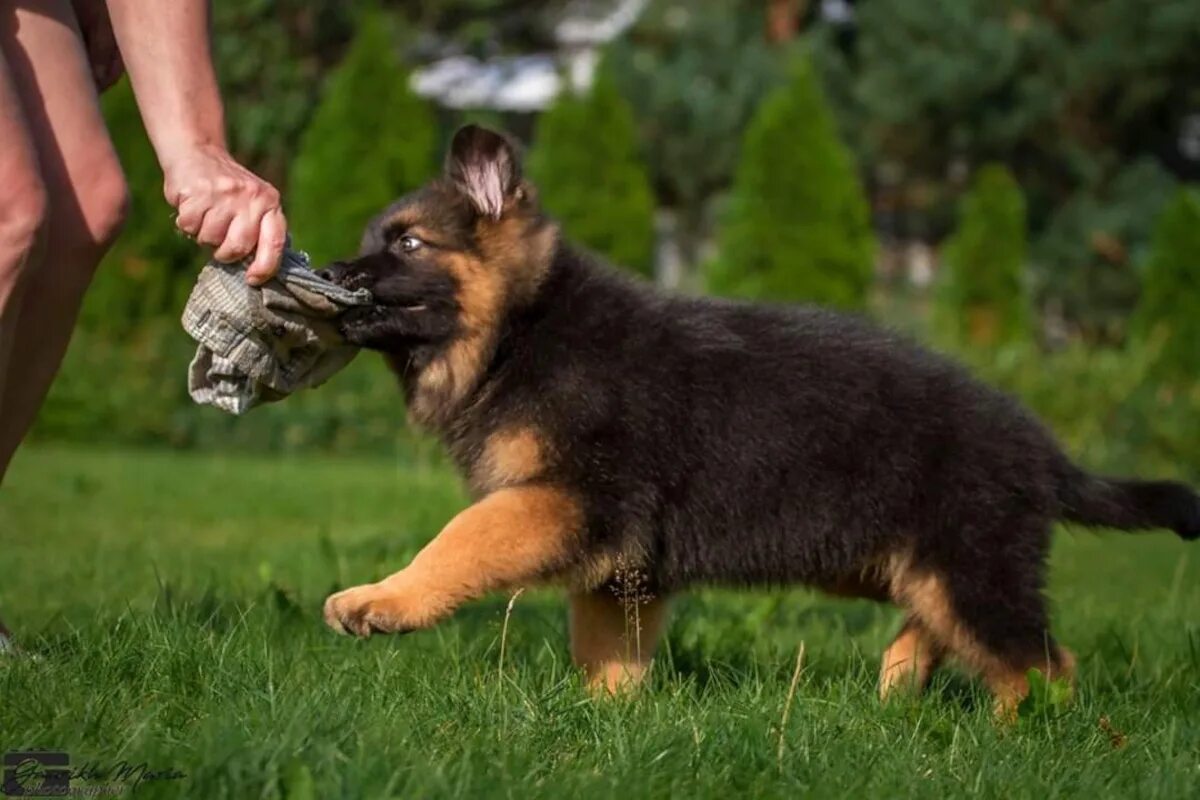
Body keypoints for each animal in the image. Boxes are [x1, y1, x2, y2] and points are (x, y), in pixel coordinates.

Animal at [319, 125, 1200, 714]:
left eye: (407, 244)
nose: (329, 271)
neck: (523, 331)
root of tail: (1044, 451)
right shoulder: (619, 563)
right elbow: (606, 651)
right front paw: (607, 722)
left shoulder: (566, 500)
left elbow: (460, 539)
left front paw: (381, 598)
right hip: (912, 564)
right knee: (948, 630)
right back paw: (894, 701)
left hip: (972, 563)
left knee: (1043, 667)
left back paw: (1014, 737)